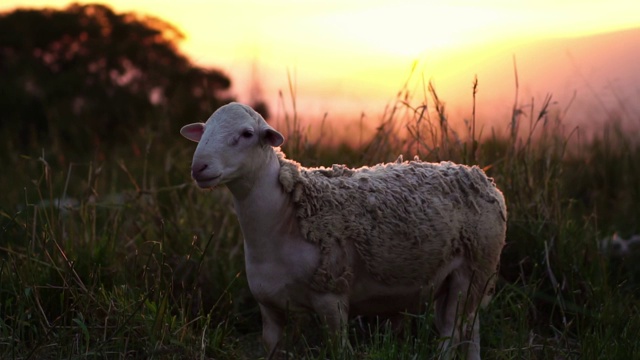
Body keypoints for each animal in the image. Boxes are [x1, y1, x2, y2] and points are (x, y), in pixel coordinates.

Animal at [179, 102, 504, 360]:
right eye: (204, 130)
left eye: (247, 134)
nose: (199, 167)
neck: (281, 220)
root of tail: (480, 176)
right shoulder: (269, 308)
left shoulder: (332, 299)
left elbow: (338, 349)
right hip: (457, 282)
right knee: (470, 330)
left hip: (473, 270)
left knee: (453, 331)